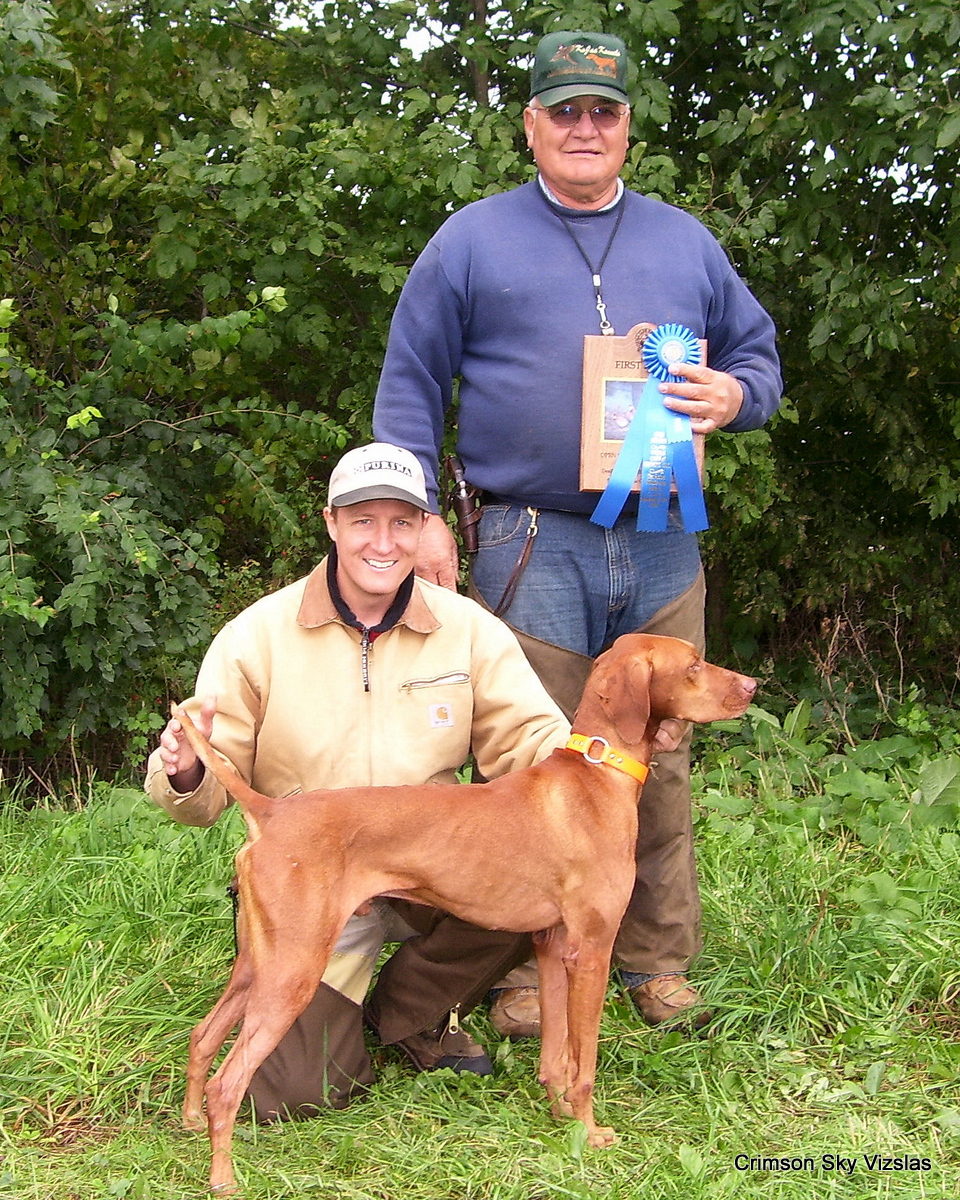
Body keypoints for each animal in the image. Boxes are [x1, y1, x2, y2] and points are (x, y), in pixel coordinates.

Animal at [174, 633, 758, 1195]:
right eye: (693, 665)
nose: (753, 686)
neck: (595, 774)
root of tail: (270, 813)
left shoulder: (552, 947)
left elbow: (555, 1058)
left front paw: (560, 1119)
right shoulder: (592, 949)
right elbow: (584, 1063)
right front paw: (590, 1134)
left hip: (258, 964)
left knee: (202, 1038)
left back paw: (191, 1123)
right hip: (293, 970)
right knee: (229, 1080)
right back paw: (223, 1178)